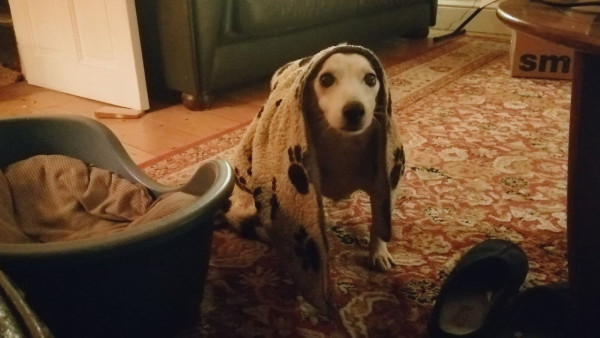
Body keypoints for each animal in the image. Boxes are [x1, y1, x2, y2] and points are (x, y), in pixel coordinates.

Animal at [225, 44, 404, 314]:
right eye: (326, 79)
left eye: (371, 79)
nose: (355, 110)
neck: (342, 144)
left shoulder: (382, 184)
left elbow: (378, 220)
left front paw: (378, 252)